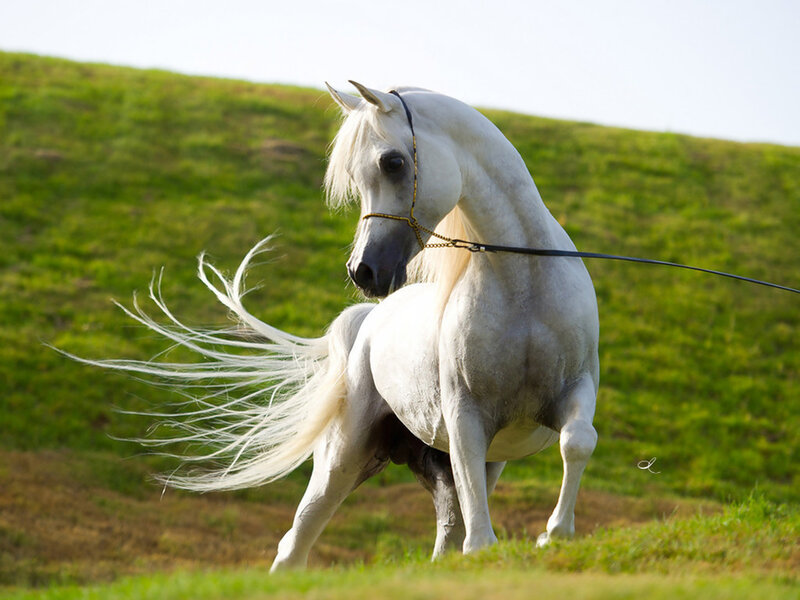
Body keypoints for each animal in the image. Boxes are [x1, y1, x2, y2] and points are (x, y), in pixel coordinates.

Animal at [73, 81, 599, 571]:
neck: (524, 291)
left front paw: (556, 534)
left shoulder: (572, 392)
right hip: (344, 456)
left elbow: (577, 442)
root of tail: (368, 320)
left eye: (392, 163)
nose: (363, 271)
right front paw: (521, 544)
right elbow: (480, 534)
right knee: (297, 540)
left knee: (447, 530)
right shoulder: (467, 418)